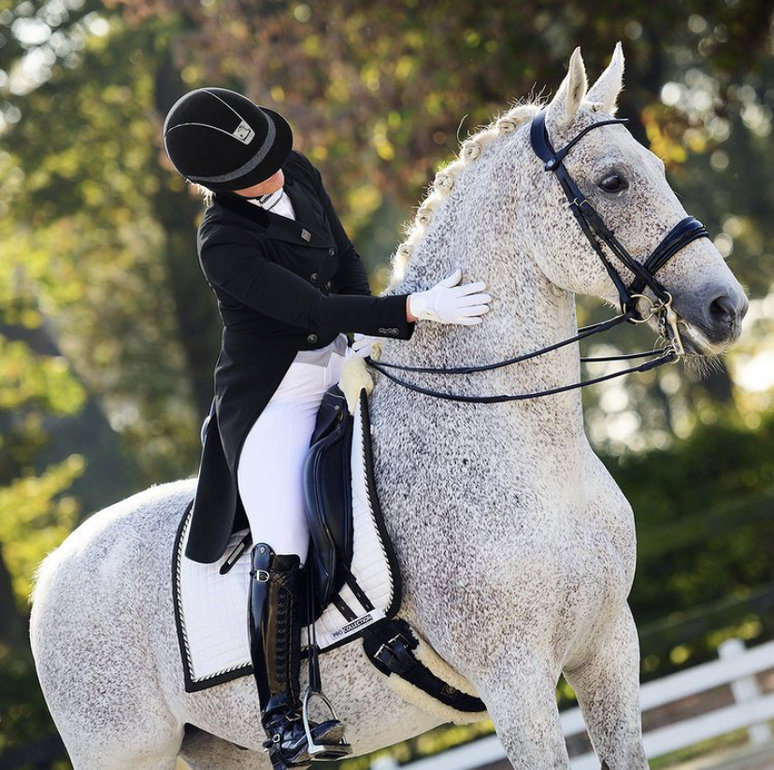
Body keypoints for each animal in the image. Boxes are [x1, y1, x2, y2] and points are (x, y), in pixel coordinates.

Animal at [31, 48, 752, 768]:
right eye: (611, 182)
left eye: (657, 167)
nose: (728, 308)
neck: (542, 462)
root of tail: (52, 569)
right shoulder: (515, 680)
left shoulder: (608, 648)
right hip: (125, 750)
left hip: (219, 749)